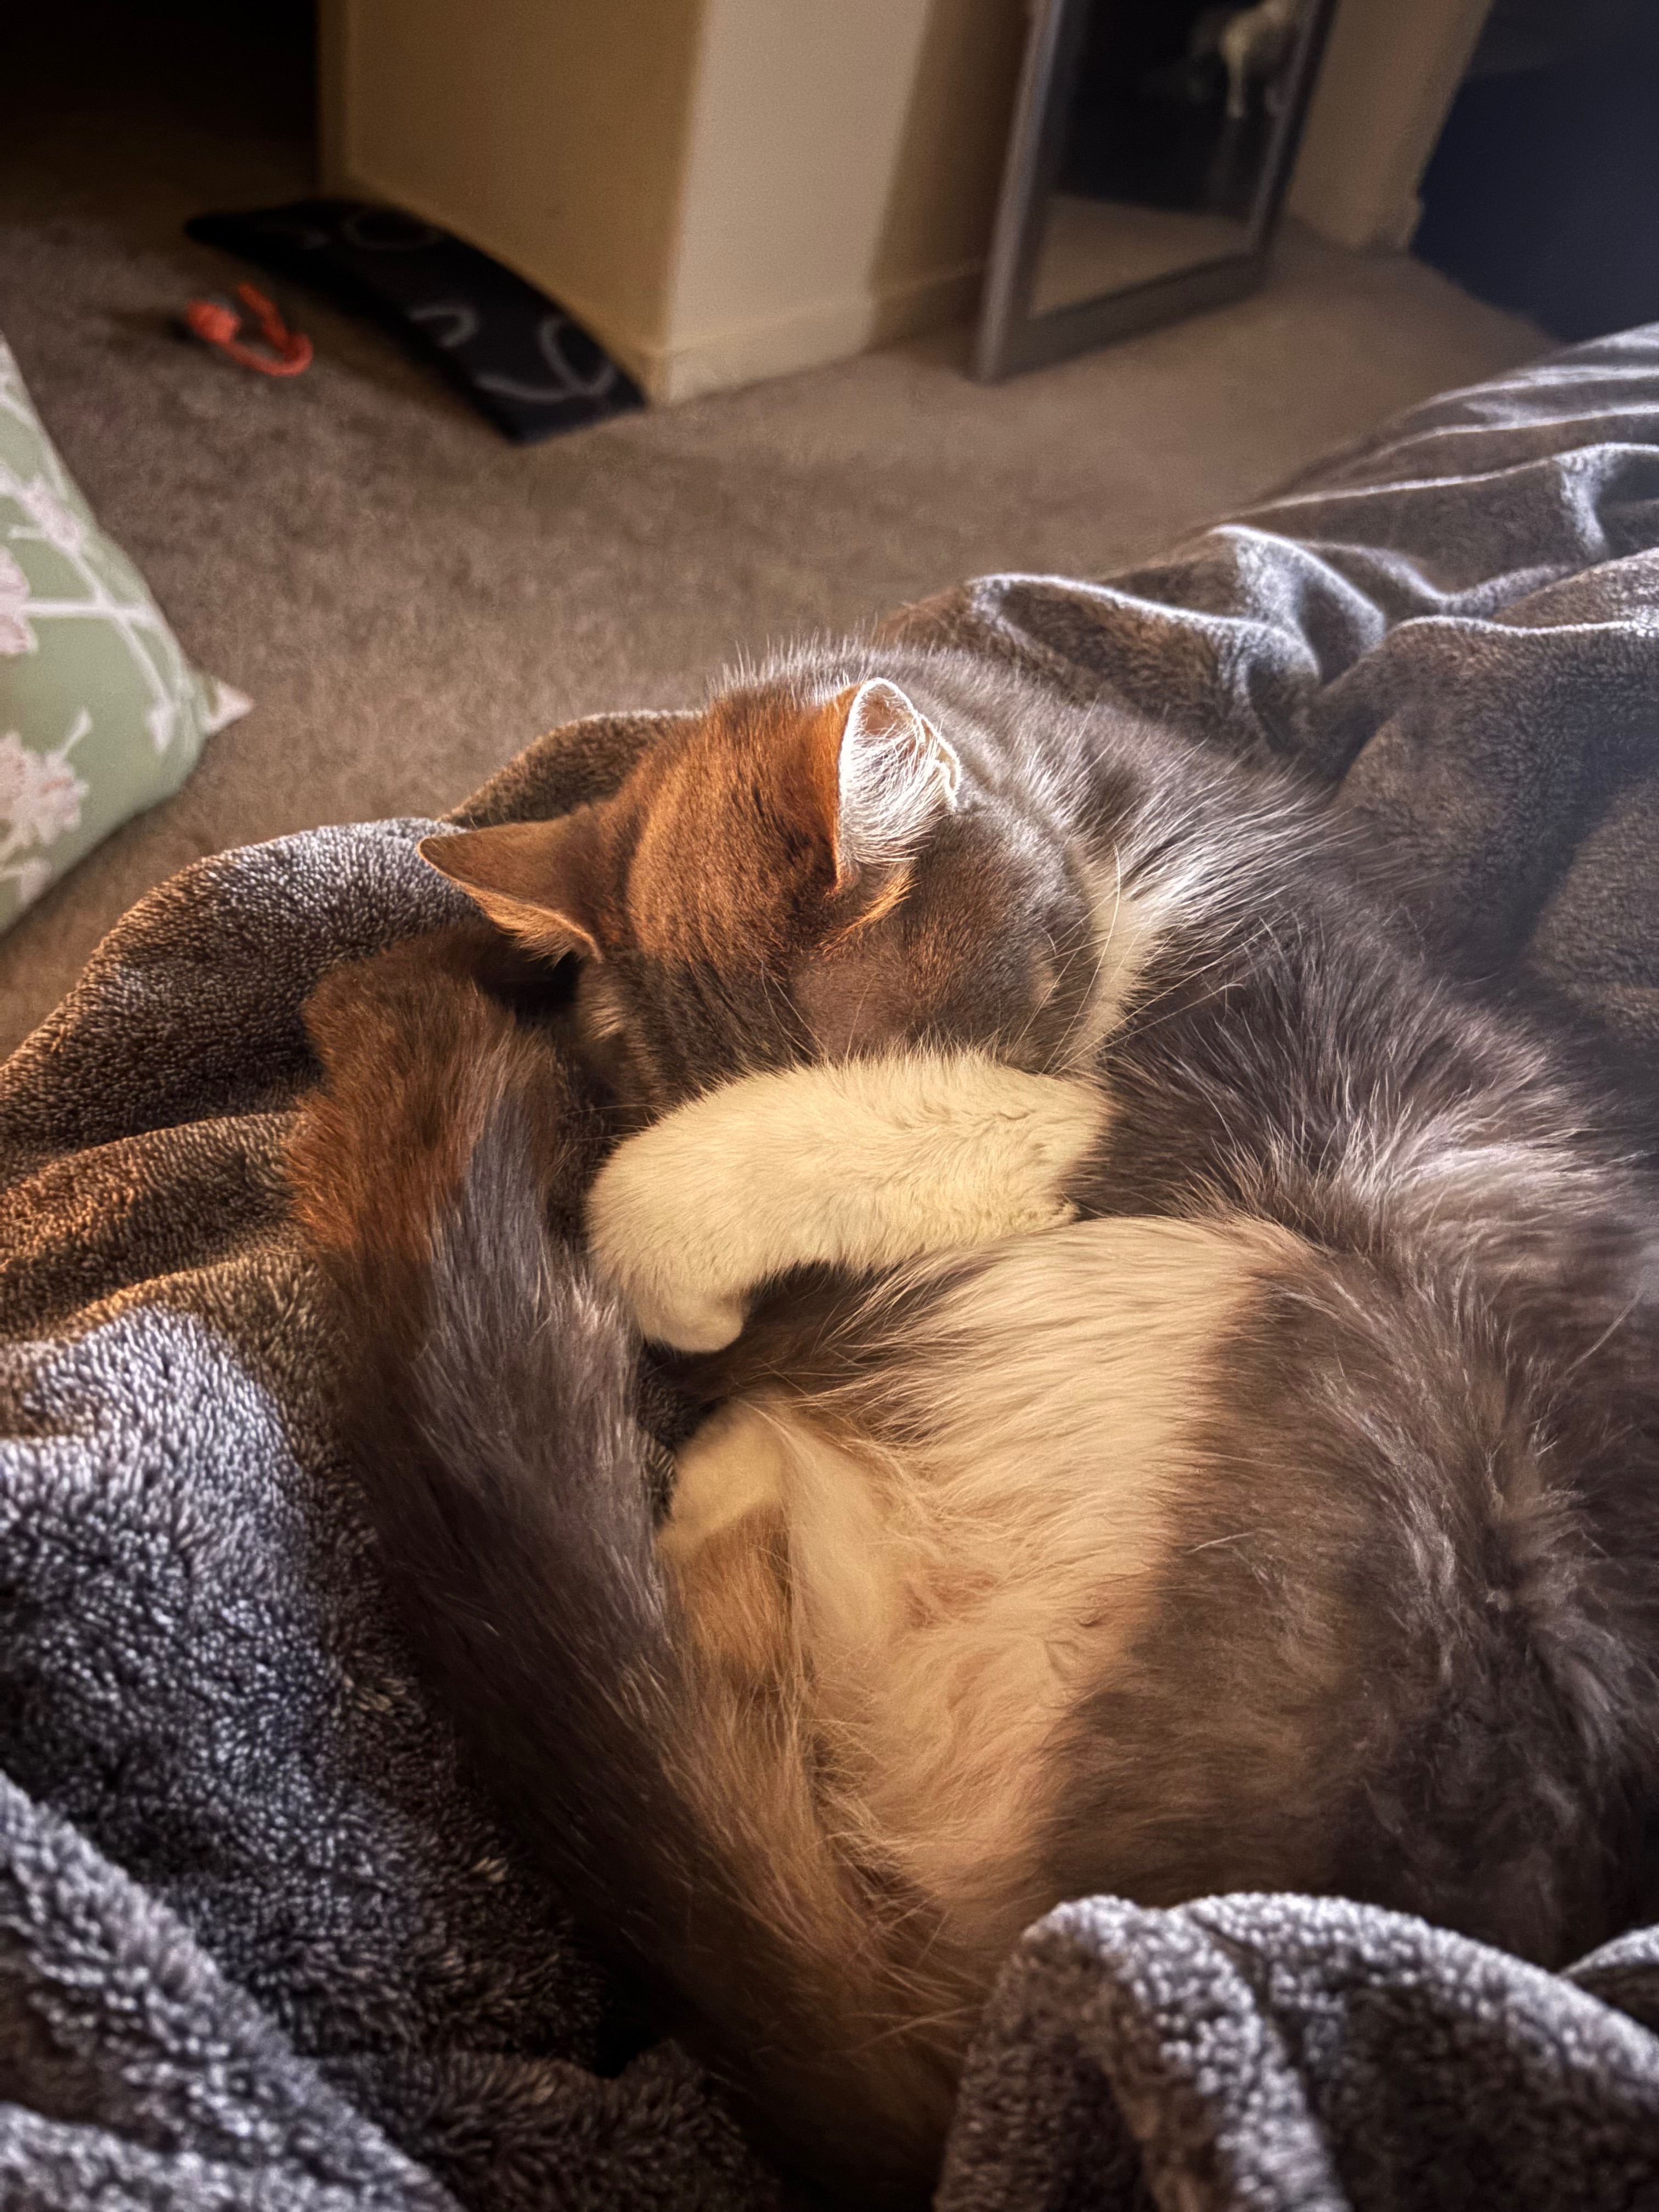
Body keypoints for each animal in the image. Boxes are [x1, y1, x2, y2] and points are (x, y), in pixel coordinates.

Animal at [288, 644, 1659, 2208]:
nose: (784, 1323)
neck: (1119, 841)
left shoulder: (1203, 1098)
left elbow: (912, 1127)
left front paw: (678, 1238)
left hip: (1337, 1347)